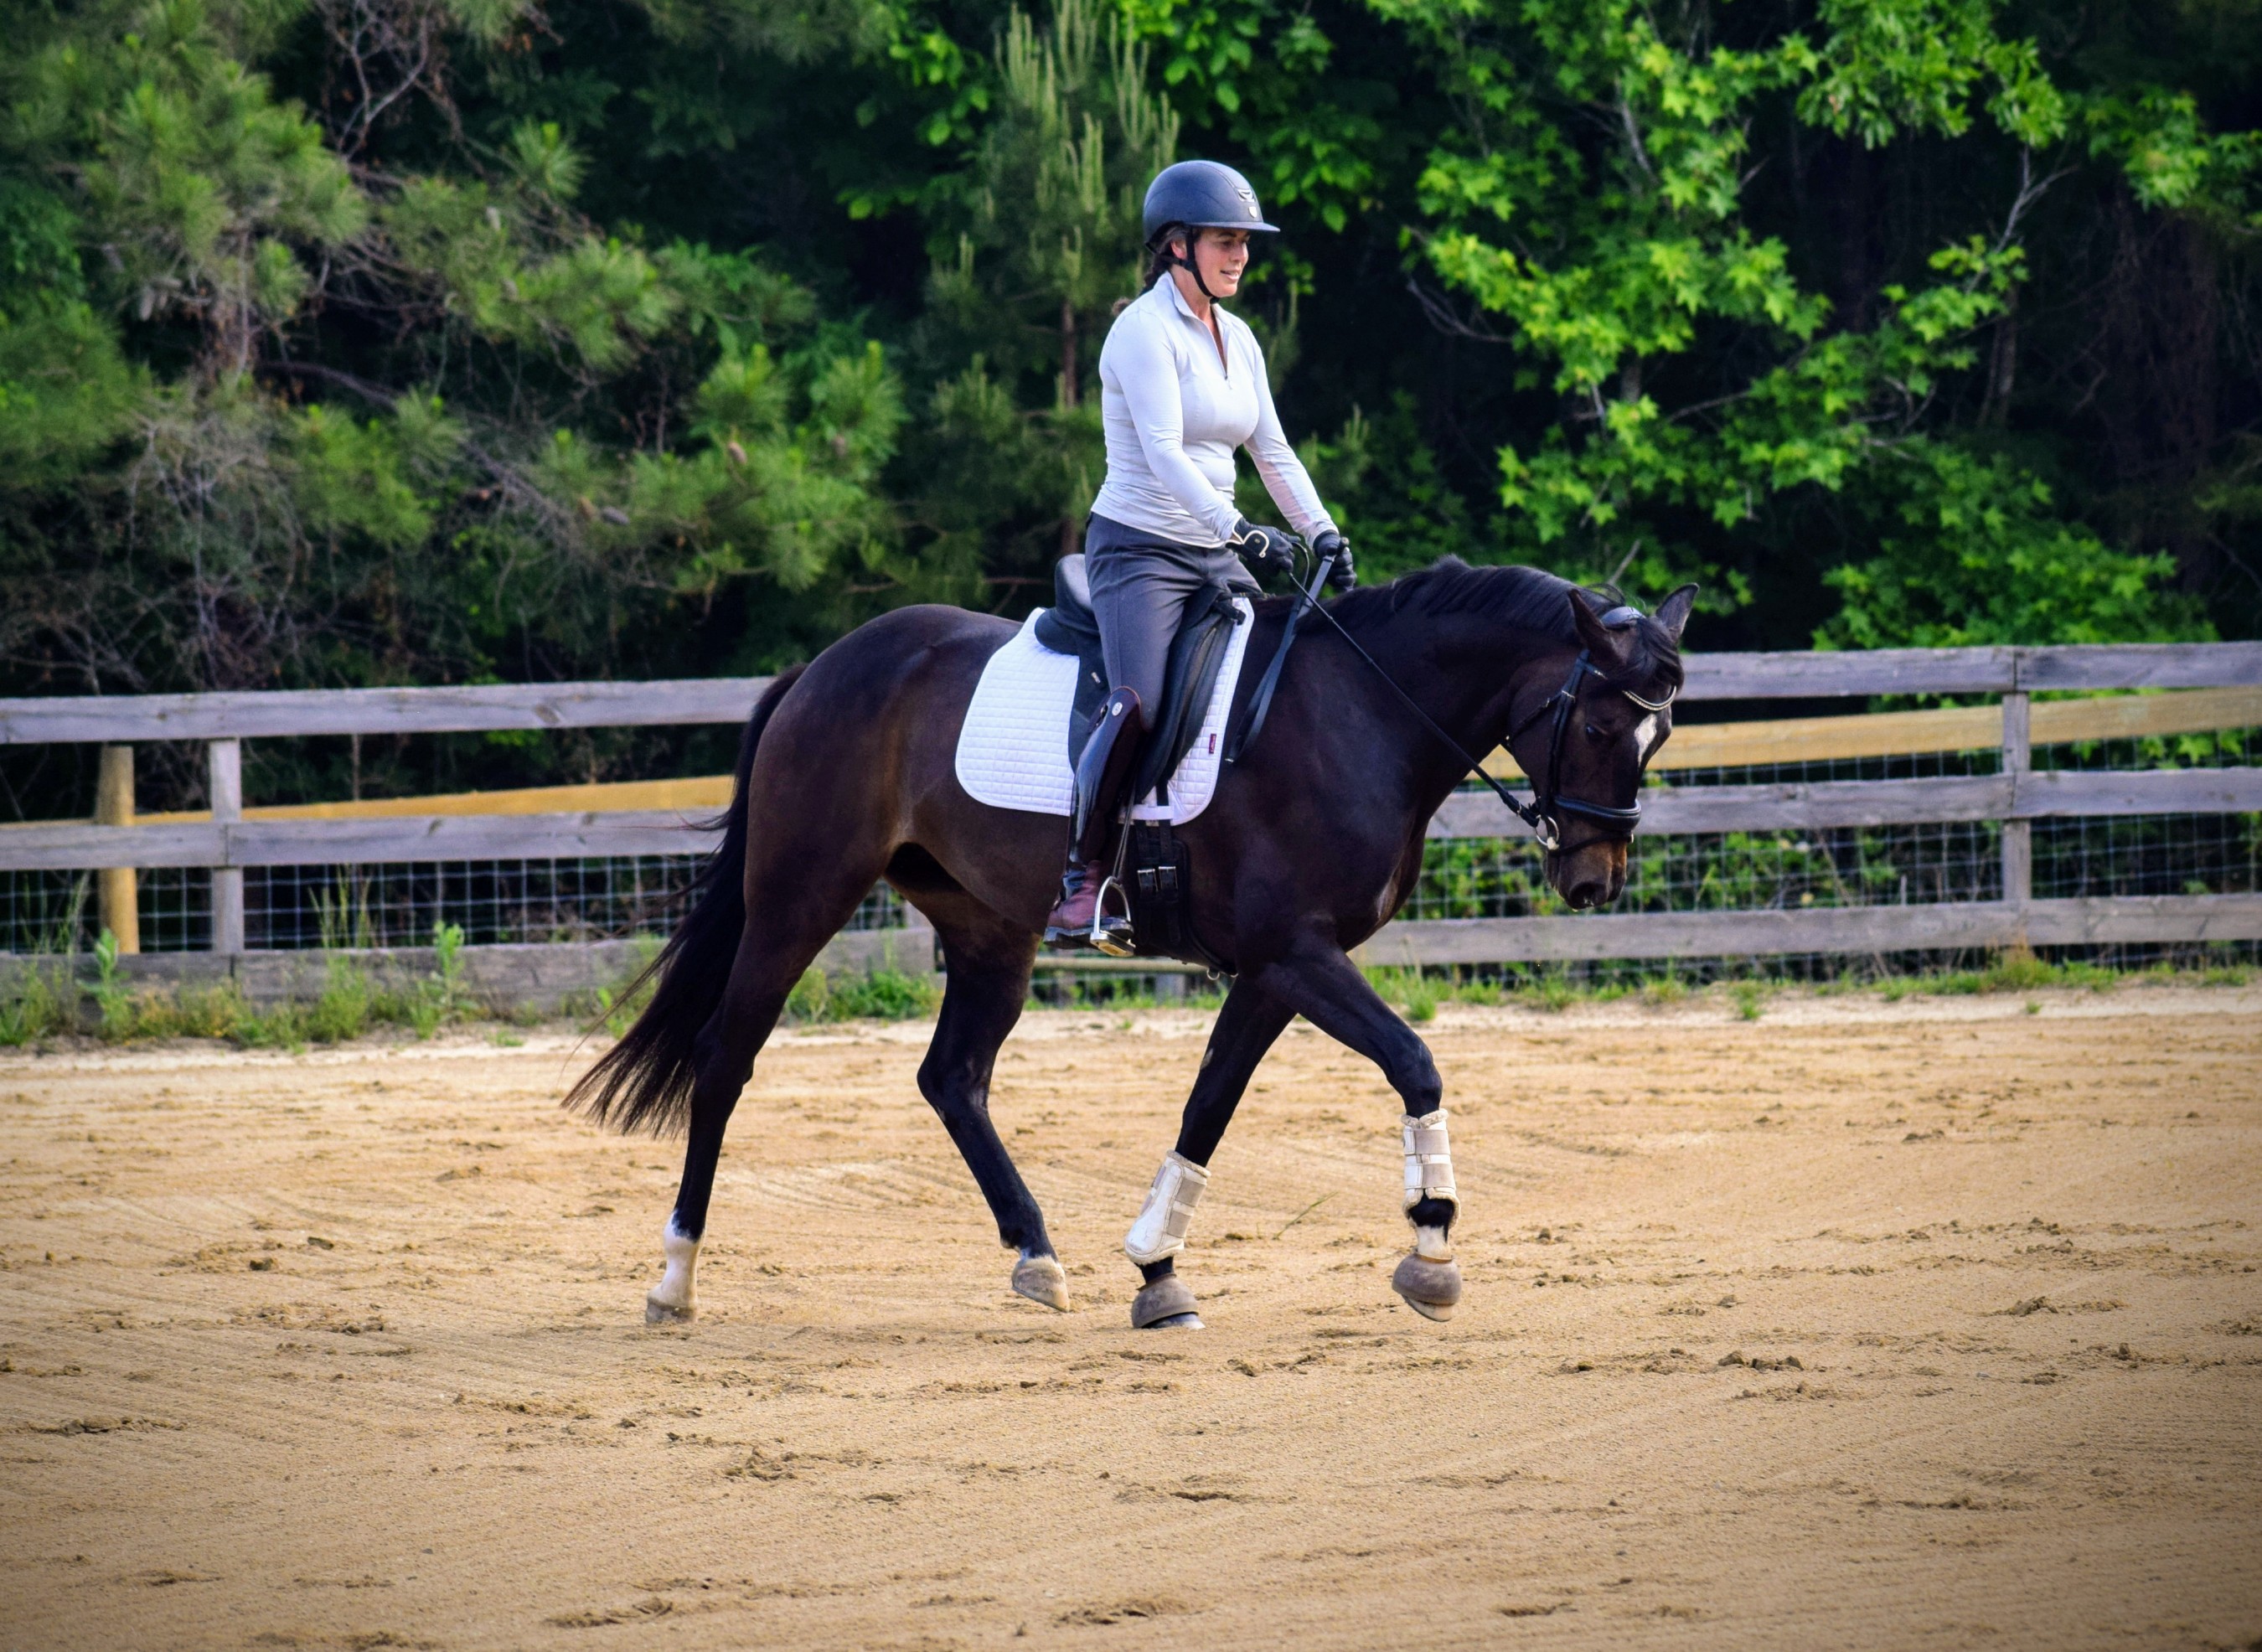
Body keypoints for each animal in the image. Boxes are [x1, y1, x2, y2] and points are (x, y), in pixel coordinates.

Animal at [566, 557, 1694, 1329]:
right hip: (802, 897)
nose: (1594, 881)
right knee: (726, 1058)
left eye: (1662, 735)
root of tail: (826, 666)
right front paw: (1432, 1247)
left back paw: (1036, 1254)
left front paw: (1157, 1269)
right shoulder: (1298, 954)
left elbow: (1208, 1106)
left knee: (952, 1078)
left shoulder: (1276, 970)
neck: (1364, 711)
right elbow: (1415, 1061)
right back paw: (676, 1277)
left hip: (988, 929)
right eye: (1601, 726)